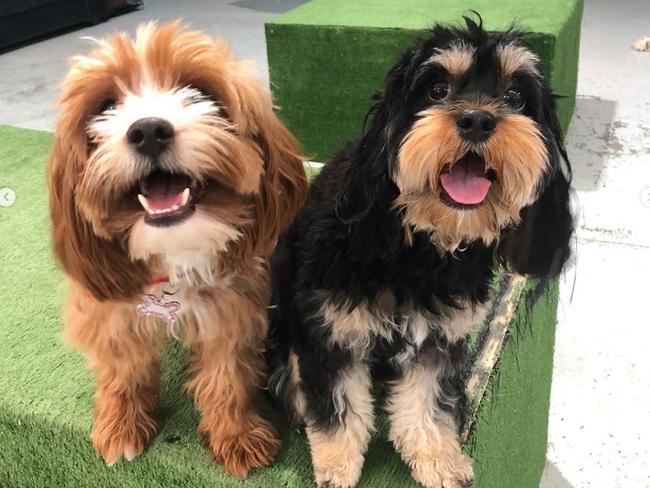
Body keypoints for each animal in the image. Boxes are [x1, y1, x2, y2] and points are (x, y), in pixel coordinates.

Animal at [266, 15, 568, 488]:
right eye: (437, 88)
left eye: (515, 96)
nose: (477, 120)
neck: (418, 247)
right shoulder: (333, 329)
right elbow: (338, 411)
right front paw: (336, 467)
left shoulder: (439, 340)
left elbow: (426, 408)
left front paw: (440, 461)